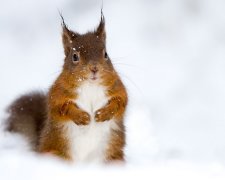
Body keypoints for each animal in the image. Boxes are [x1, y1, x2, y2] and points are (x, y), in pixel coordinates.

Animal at [5, 13, 128, 162]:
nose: (94, 68)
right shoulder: (57, 93)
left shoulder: (117, 87)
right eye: (75, 56)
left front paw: (102, 114)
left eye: (105, 54)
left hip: (112, 158)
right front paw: (82, 117)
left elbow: (120, 102)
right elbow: (61, 107)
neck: (90, 85)